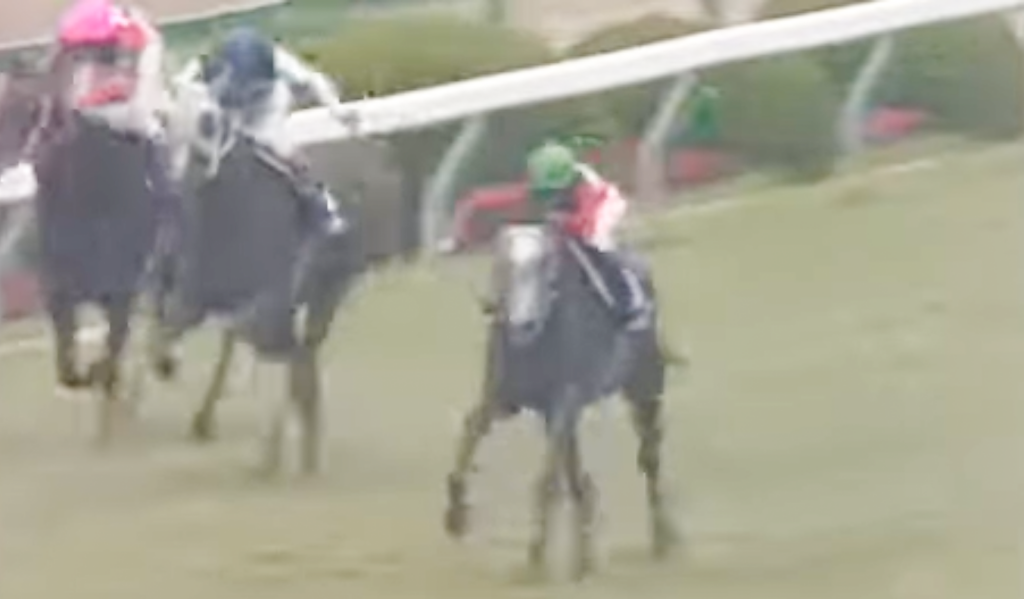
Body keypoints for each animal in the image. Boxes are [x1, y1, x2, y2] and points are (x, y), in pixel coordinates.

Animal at [0, 63, 163, 441]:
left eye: (25, 113)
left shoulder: (120, 291)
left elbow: (112, 345)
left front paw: (104, 377)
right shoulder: (59, 293)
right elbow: (68, 368)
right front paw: (93, 377)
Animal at [151, 83, 367, 476]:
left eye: (207, 122)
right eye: (167, 119)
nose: (176, 179)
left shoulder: (268, 302)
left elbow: (262, 341)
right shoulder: (191, 295)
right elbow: (164, 333)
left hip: (326, 296)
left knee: (300, 355)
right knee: (294, 357)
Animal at [443, 223, 683, 579]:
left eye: (546, 268)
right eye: (505, 266)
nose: (524, 323)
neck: (536, 344)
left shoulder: (563, 404)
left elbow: (546, 481)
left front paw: (535, 554)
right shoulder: (502, 400)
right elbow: (469, 435)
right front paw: (455, 516)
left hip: (644, 389)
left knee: (650, 459)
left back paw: (661, 539)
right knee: (577, 479)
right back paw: (585, 558)